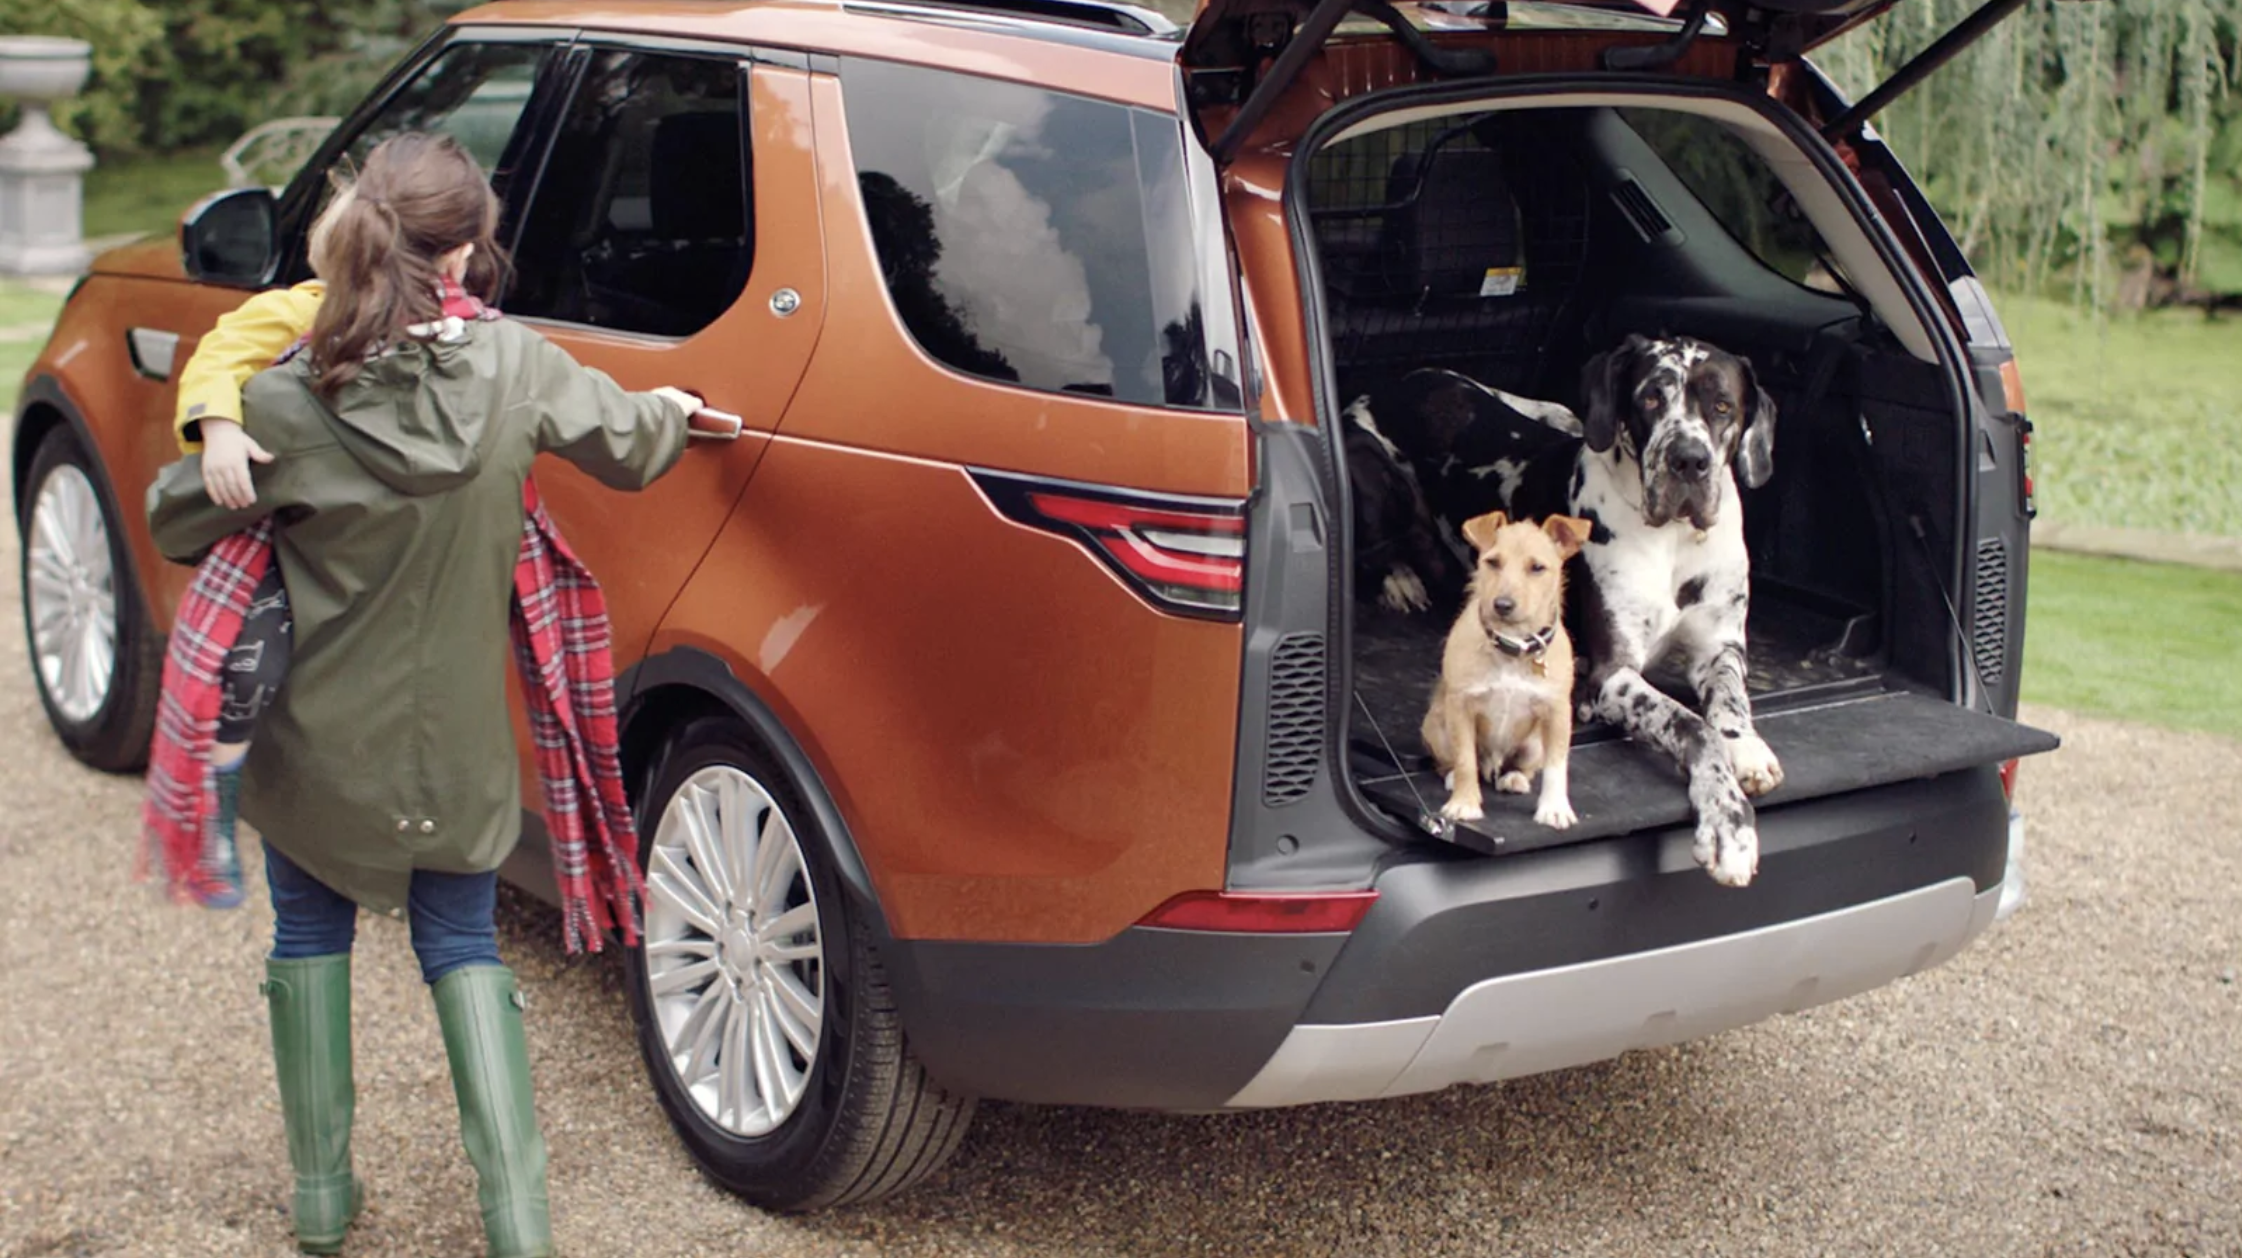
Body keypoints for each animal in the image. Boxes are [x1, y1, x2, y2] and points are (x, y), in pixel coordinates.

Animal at [1425, 506, 1587, 825]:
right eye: (1492, 562)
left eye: (1537, 568)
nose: (1502, 605)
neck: (1514, 646)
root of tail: (1494, 762)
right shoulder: (1461, 707)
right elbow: (1465, 759)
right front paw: (1464, 803)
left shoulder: (1558, 713)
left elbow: (1556, 765)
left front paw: (1554, 808)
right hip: (1437, 727)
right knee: (1453, 762)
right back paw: (1452, 777)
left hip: (1533, 744)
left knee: (1525, 766)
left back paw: (1514, 777)